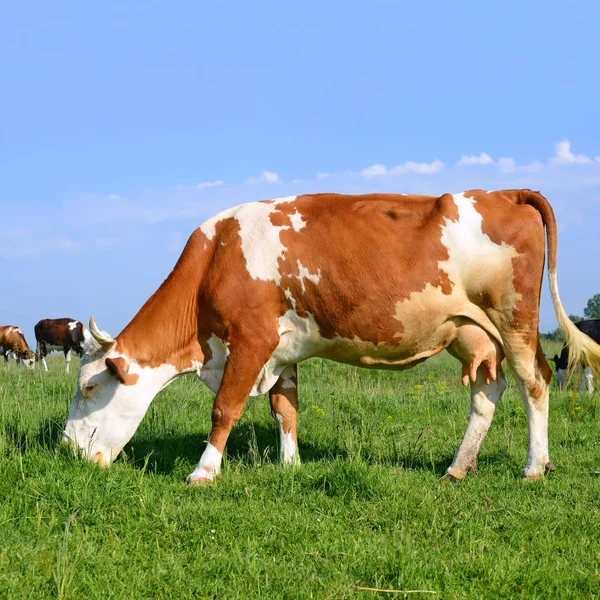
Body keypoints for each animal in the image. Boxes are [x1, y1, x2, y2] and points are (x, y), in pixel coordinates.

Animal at [61, 191, 600, 482]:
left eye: (88, 387)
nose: (66, 449)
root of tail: (503, 192)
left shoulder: (251, 340)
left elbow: (224, 409)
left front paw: (203, 472)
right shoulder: (280, 352)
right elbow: (286, 407)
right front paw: (291, 465)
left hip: (514, 322)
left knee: (534, 382)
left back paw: (534, 466)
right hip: (471, 333)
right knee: (488, 391)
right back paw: (457, 467)